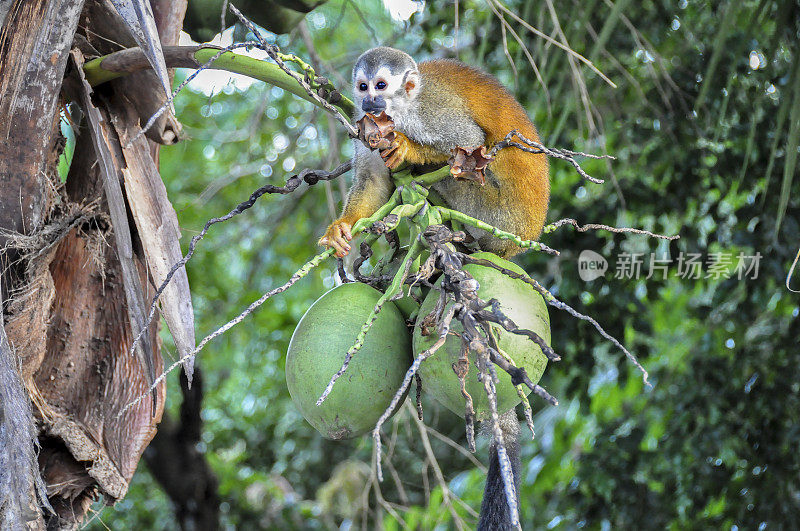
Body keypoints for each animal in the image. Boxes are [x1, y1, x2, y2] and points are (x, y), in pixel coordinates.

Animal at [318, 47, 552, 528]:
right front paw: (342, 229)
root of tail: (517, 242)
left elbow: (469, 140)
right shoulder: (366, 128)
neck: (399, 112)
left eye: (382, 85)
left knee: (466, 166)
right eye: (362, 87)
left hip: (493, 213)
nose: (369, 102)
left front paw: (409, 149)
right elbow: (373, 181)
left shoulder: (431, 114)